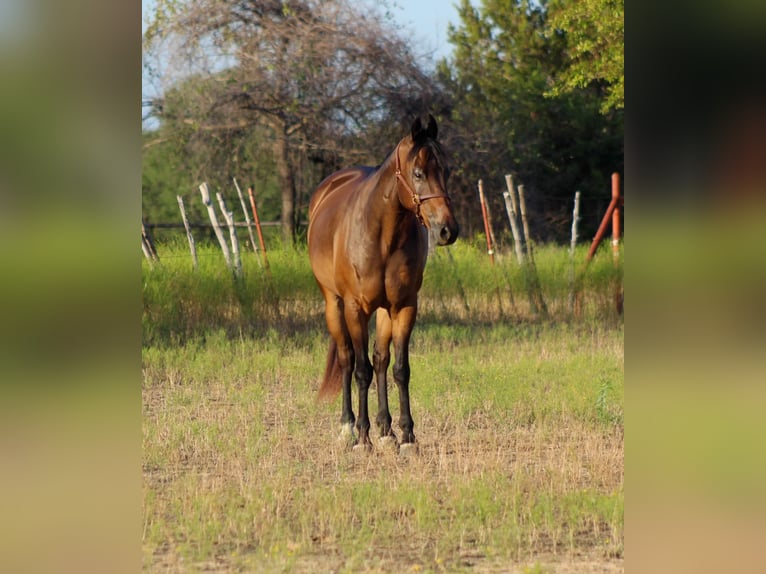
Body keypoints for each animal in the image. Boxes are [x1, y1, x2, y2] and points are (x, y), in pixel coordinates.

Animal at [308, 113, 462, 454]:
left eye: (446, 170)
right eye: (418, 172)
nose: (448, 230)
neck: (381, 235)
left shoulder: (403, 307)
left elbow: (399, 369)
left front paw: (406, 437)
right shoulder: (355, 309)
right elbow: (361, 370)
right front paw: (363, 438)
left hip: (382, 311)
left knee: (381, 360)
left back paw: (386, 431)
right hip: (334, 304)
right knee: (348, 359)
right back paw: (348, 427)